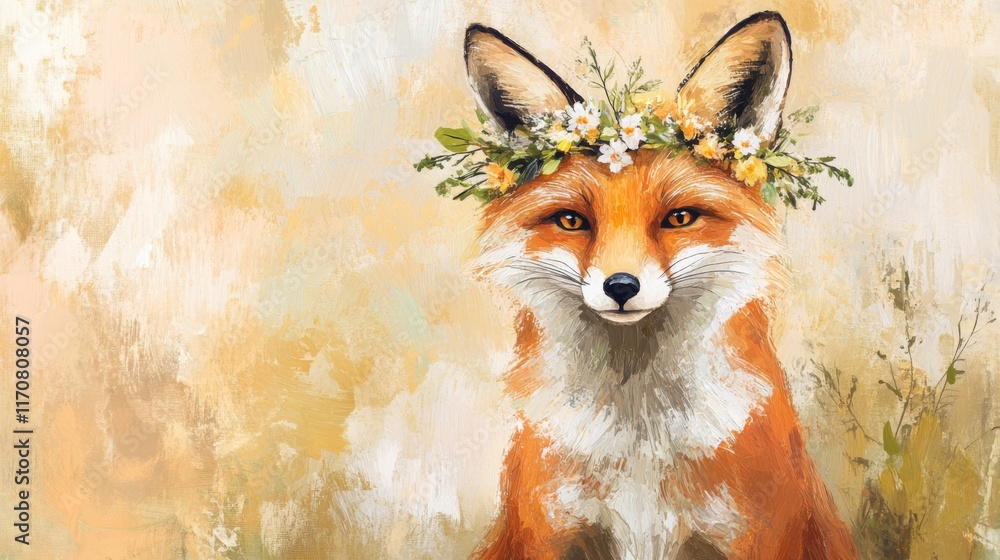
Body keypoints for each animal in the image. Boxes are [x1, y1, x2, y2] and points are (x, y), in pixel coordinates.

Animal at [458, 11, 860, 560]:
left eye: (679, 217)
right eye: (571, 220)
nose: (621, 286)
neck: (639, 437)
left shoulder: (754, 536)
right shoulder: (549, 533)